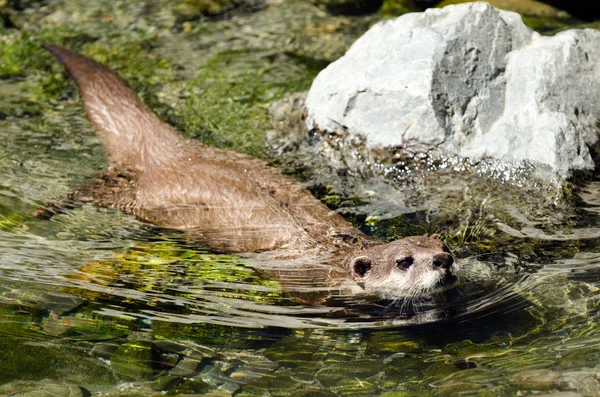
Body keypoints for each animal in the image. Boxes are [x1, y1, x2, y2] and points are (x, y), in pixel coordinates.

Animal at [39, 45, 458, 296]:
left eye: (444, 248)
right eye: (405, 261)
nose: (444, 261)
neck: (331, 260)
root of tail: (171, 149)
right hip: (139, 197)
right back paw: (46, 209)